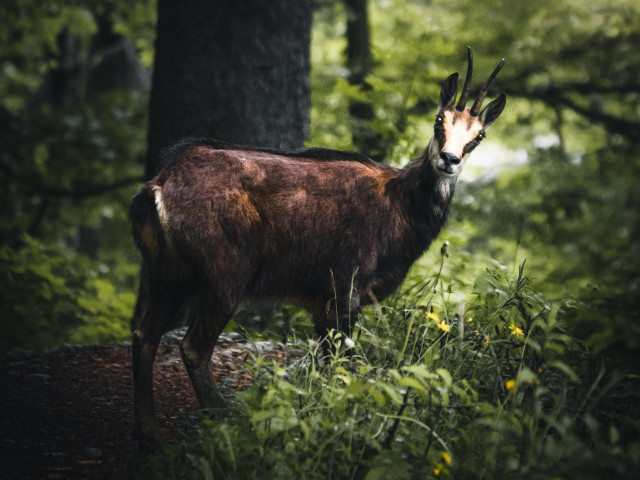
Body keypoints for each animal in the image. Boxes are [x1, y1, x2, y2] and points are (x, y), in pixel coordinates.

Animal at [130, 47, 506, 447]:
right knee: (194, 347)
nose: (449, 160)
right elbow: (340, 365)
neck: (402, 209)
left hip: (168, 273)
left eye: (479, 135)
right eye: (439, 120)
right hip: (225, 276)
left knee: (144, 336)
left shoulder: (322, 301)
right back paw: (220, 421)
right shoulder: (344, 288)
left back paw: (149, 434)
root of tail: (157, 186)